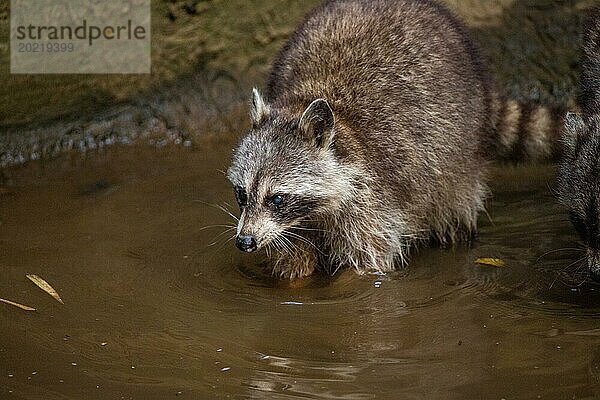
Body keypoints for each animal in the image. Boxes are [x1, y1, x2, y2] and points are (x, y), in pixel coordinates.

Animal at [227, 0, 564, 278]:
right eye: (241, 194)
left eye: (277, 198)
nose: (245, 241)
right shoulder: (294, 226)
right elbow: (294, 264)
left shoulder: (370, 197)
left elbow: (367, 265)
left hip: (459, 155)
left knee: (455, 208)